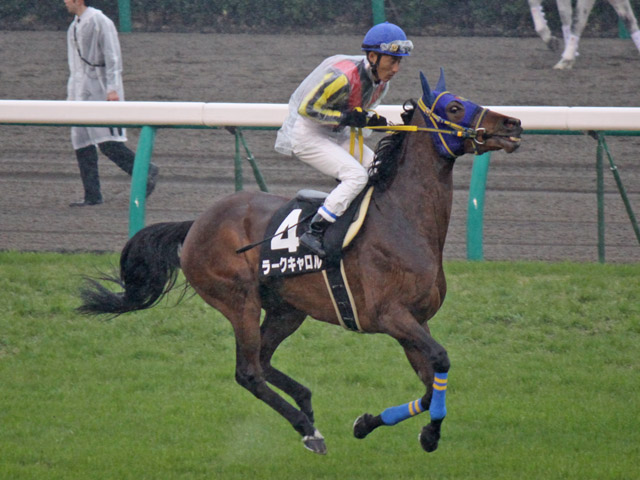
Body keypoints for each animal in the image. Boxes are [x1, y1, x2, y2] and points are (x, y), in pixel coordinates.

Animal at [77, 69, 522, 455]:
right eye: (453, 107)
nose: (513, 123)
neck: (403, 218)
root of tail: (196, 224)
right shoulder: (391, 315)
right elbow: (442, 360)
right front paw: (424, 433)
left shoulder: (416, 320)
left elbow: (432, 385)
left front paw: (378, 425)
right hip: (238, 298)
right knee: (248, 371)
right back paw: (306, 427)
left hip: (287, 308)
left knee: (262, 359)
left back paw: (307, 406)